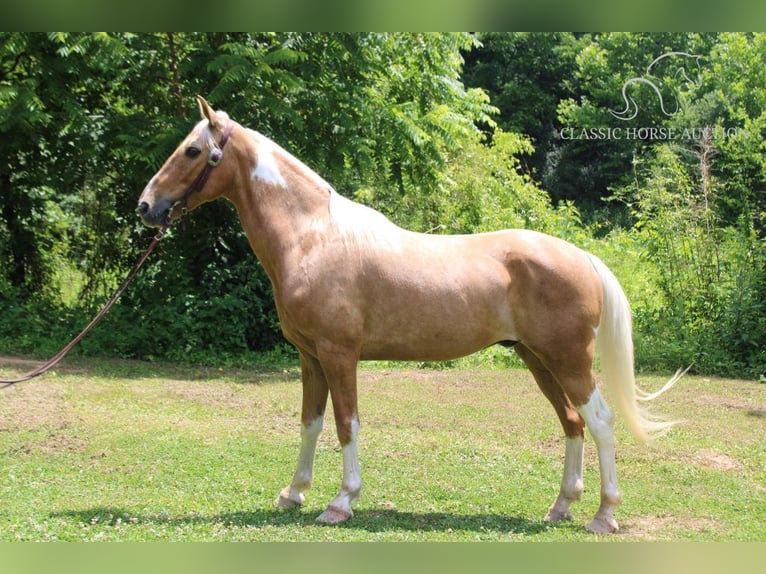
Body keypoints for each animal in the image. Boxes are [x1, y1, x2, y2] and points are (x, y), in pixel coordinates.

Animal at [138, 95, 684, 536]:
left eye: (192, 151)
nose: (146, 206)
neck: (314, 237)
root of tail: (583, 257)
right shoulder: (310, 358)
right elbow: (311, 423)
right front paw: (293, 493)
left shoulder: (339, 355)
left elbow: (347, 423)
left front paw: (341, 502)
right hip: (537, 359)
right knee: (572, 422)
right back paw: (561, 507)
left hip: (569, 360)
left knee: (601, 421)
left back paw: (604, 516)